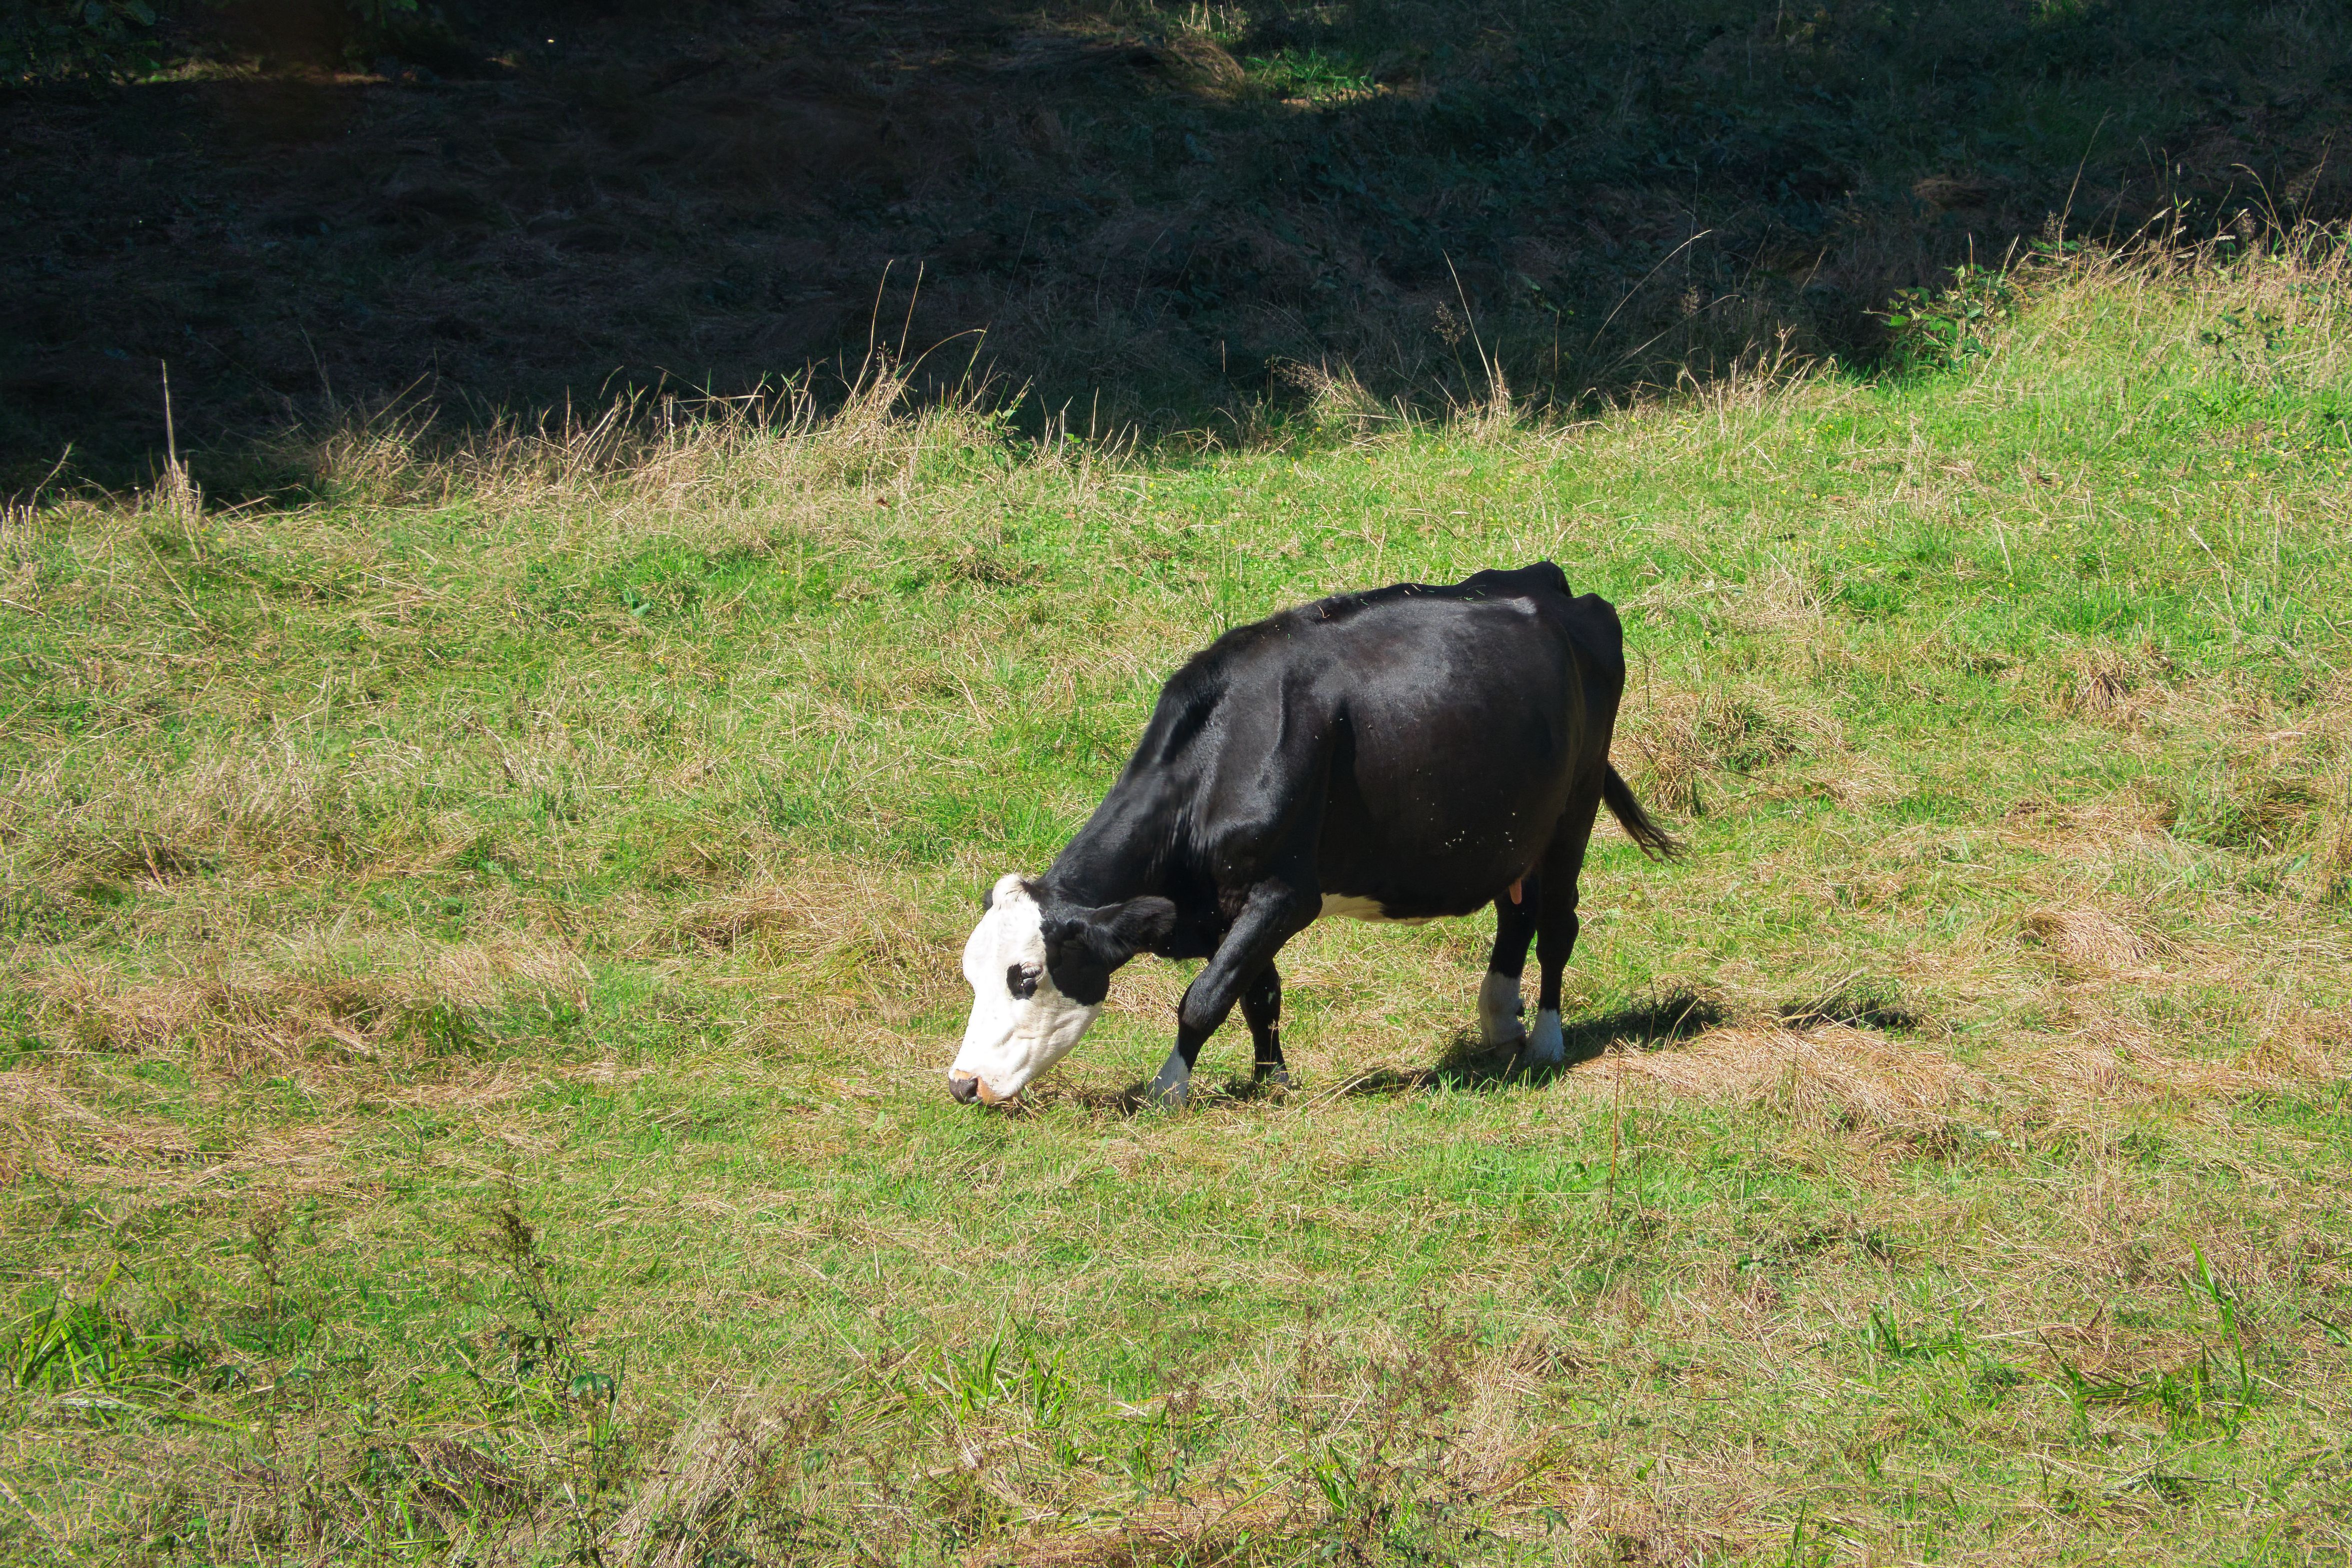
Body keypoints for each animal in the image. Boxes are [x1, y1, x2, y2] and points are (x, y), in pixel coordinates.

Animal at [949, 562, 1678, 1108]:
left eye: (1025, 976)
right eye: (972, 976)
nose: (962, 1084)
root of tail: (1551, 585)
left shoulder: (1285, 892)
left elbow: (1204, 997)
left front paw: (1168, 1088)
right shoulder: (1230, 902)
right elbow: (1256, 993)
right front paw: (1271, 1080)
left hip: (1573, 809)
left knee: (1557, 923)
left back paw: (1547, 1042)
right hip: (1509, 828)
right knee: (1516, 914)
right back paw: (1500, 1021)